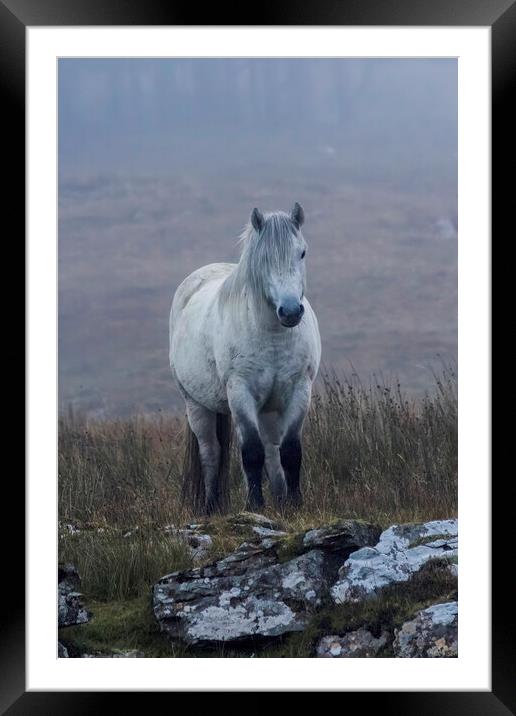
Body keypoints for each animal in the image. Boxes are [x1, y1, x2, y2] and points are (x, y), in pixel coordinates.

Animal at [169, 203, 320, 516]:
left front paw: (295, 505)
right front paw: (255, 505)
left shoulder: (300, 390)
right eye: (263, 259)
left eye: (302, 252)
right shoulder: (241, 392)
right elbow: (251, 452)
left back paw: (280, 499)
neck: (273, 335)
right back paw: (211, 507)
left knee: (273, 451)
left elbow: (290, 451)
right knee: (211, 453)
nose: (290, 311)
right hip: (197, 405)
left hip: (269, 409)